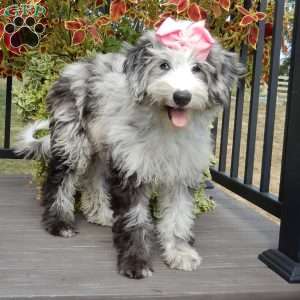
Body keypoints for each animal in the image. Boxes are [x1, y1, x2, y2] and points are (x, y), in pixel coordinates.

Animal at [16, 18, 245, 278]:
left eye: (197, 68)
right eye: (163, 65)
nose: (181, 96)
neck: (165, 127)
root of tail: (73, 68)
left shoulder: (181, 174)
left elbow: (179, 217)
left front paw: (179, 252)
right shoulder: (132, 169)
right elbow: (134, 219)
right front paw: (136, 262)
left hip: (101, 145)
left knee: (93, 178)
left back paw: (100, 214)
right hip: (73, 140)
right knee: (59, 180)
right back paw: (59, 223)